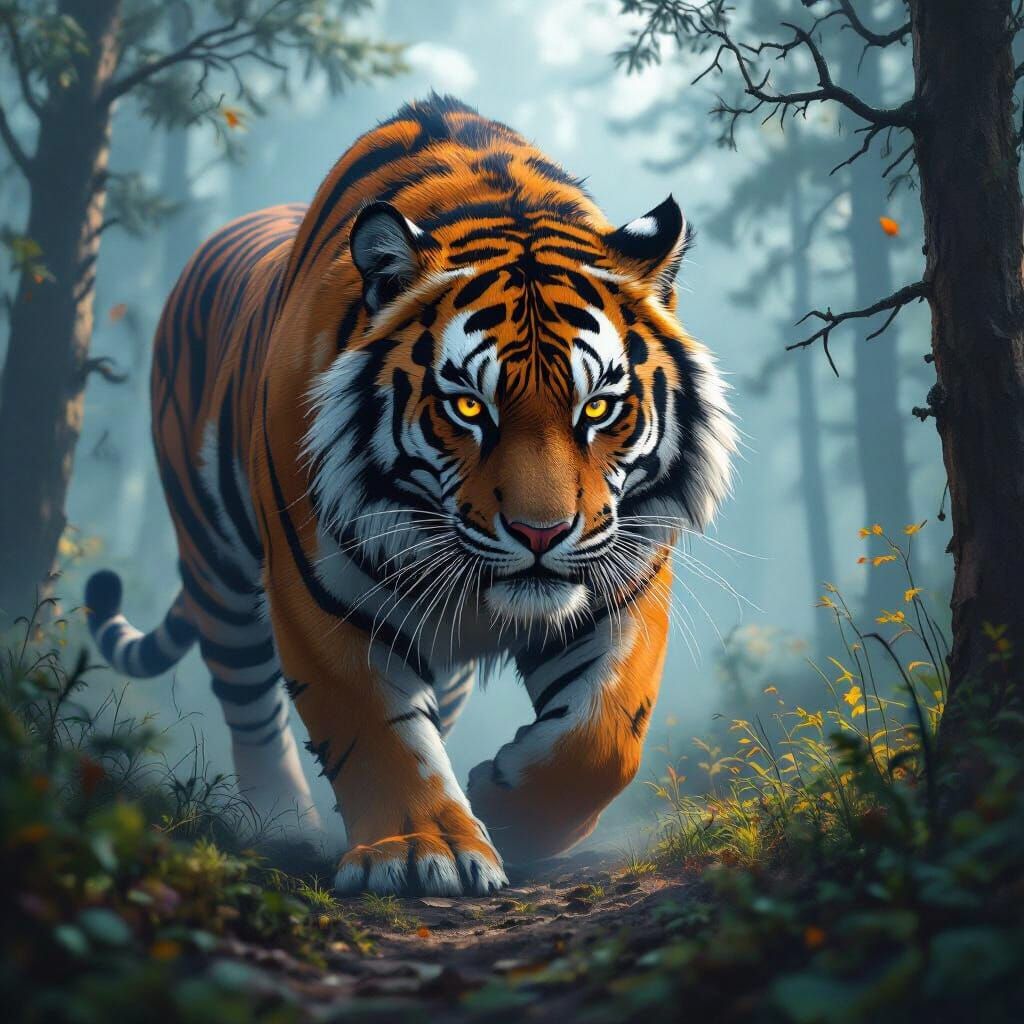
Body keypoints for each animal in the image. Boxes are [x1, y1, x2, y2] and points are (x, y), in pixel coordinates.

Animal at [85, 94, 736, 896]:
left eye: (598, 408)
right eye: (468, 408)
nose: (541, 534)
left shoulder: (624, 577)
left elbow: (604, 735)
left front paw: (506, 809)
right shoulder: (317, 590)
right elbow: (376, 728)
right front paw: (423, 851)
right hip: (216, 565)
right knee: (251, 710)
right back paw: (281, 824)